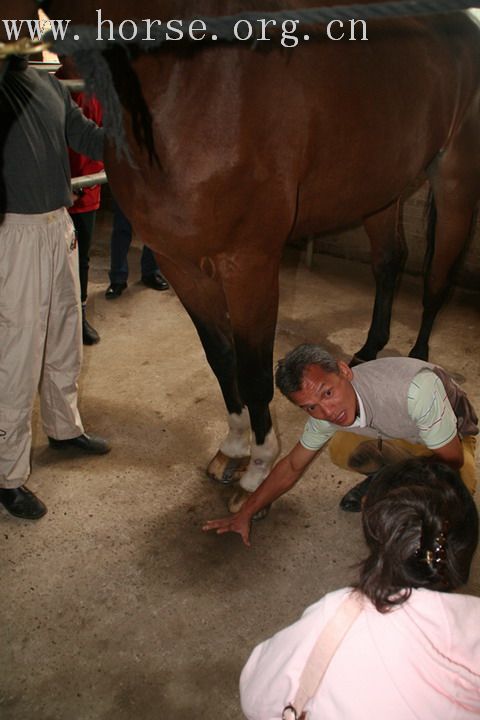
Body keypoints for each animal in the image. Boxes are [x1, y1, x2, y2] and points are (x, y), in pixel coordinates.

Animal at [2, 1, 480, 506]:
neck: (185, 76)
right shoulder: (181, 265)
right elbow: (221, 358)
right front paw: (232, 449)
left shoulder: (250, 265)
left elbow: (254, 371)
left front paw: (259, 467)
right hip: (380, 192)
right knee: (389, 262)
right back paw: (370, 348)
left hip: (454, 183)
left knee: (436, 281)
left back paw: (422, 361)